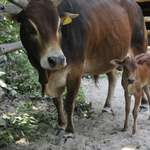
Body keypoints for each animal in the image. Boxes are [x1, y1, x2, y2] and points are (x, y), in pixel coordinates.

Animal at [8, 0, 148, 145]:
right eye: (30, 27)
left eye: (59, 25)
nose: (57, 60)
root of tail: (135, 5)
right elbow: (57, 102)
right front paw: (61, 125)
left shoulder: (75, 72)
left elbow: (69, 104)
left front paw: (69, 133)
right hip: (109, 57)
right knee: (113, 77)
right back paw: (107, 107)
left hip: (139, 48)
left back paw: (144, 104)